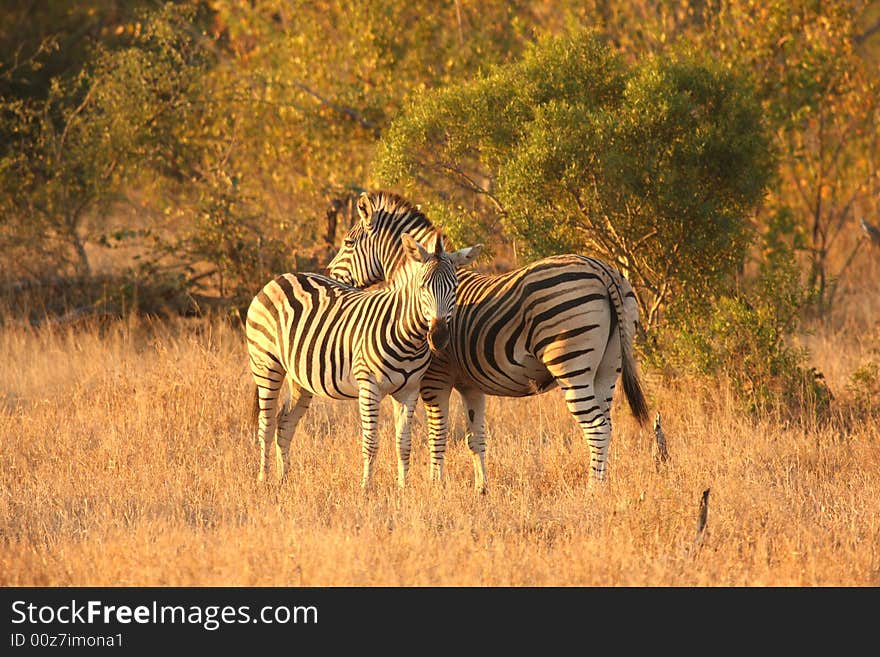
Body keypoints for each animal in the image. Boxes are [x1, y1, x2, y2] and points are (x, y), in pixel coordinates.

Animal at [246, 218, 482, 490]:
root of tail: (282, 277)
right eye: (423, 286)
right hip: (266, 365)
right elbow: (371, 443)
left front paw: (403, 488)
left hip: (300, 377)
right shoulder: (368, 386)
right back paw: (263, 479)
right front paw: (366, 488)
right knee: (266, 425)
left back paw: (283, 478)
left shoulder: (409, 390)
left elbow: (404, 443)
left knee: (284, 422)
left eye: (455, 288)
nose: (439, 336)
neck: (408, 336)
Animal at [326, 190, 648, 492]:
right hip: (609, 367)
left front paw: (435, 485)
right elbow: (475, 438)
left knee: (596, 428)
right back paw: (603, 486)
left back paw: (593, 490)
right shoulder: (471, 385)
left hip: (571, 363)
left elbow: (437, 435)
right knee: (607, 424)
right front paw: (482, 488)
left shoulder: (434, 379)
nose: (328, 274)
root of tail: (601, 270)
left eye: (348, 243)